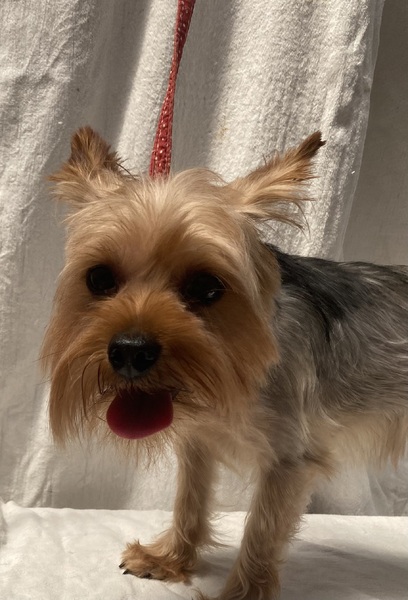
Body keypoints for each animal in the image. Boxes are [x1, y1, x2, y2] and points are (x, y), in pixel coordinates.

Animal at [42, 127, 408, 600]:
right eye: (99, 278)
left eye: (206, 287)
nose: (130, 350)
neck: (239, 364)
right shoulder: (198, 439)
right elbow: (190, 499)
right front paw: (171, 559)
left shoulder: (289, 460)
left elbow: (262, 531)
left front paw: (242, 593)